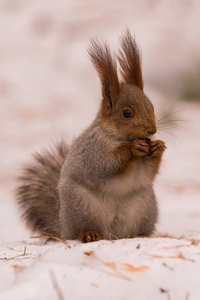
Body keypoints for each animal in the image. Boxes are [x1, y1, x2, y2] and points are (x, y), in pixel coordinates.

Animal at [15, 29, 166, 243]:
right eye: (126, 113)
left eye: (151, 106)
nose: (151, 130)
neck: (119, 137)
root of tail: (63, 227)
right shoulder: (93, 151)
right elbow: (106, 165)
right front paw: (134, 148)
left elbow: (147, 173)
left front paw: (158, 147)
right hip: (81, 206)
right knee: (83, 229)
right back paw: (89, 233)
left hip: (145, 206)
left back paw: (140, 235)